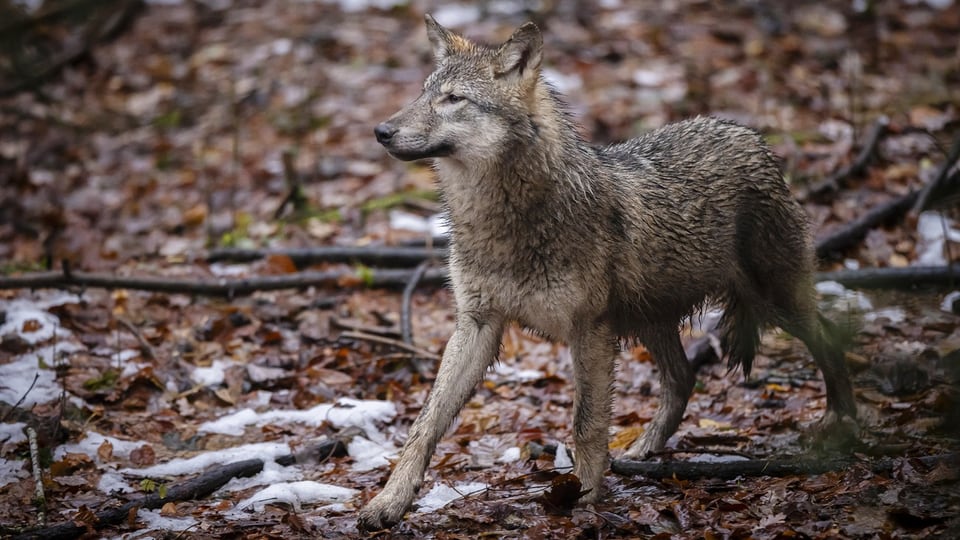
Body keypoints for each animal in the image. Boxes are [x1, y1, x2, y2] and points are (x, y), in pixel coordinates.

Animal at [358, 14, 856, 528]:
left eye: (453, 99)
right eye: (422, 93)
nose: (381, 131)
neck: (504, 220)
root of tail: (751, 136)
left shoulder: (589, 329)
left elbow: (587, 422)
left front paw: (584, 496)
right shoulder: (477, 324)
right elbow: (426, 422)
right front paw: (389, 502)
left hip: (775, 301)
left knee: (829, 335)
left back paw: (842, 422)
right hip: (653, 319)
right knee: (683, 378)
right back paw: (643, 450)